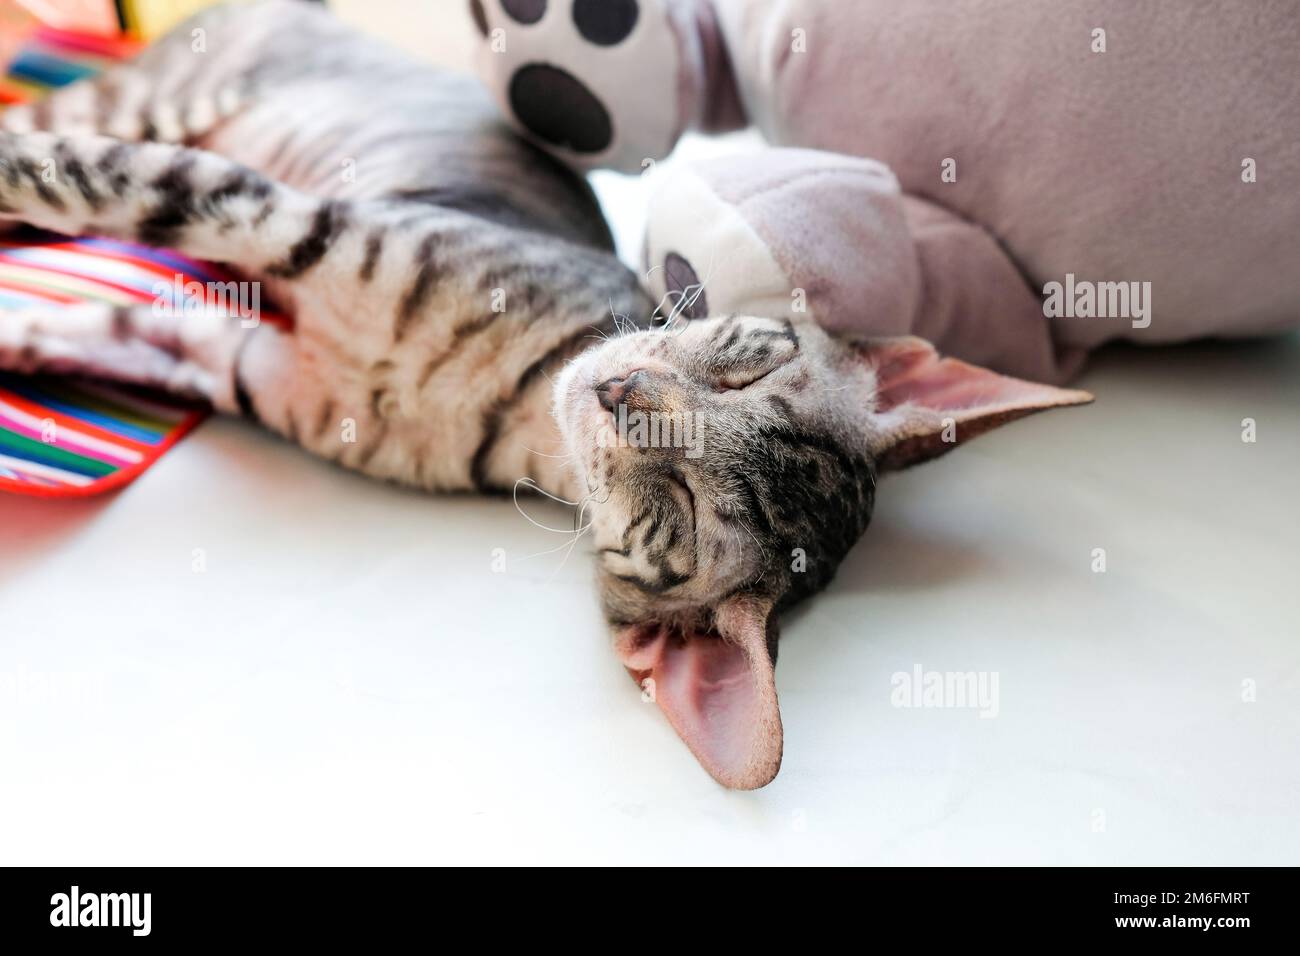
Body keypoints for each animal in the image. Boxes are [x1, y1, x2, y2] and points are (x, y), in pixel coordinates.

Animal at [2, 0, 1086, 790]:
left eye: (678, 509)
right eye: (745, 358)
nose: (621, 386)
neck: (495, 393)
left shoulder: (231, 352)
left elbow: (79, 324)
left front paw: (25, 345)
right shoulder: (286, 221)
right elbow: (68, 182)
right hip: (161, 105)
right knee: (47, 131)